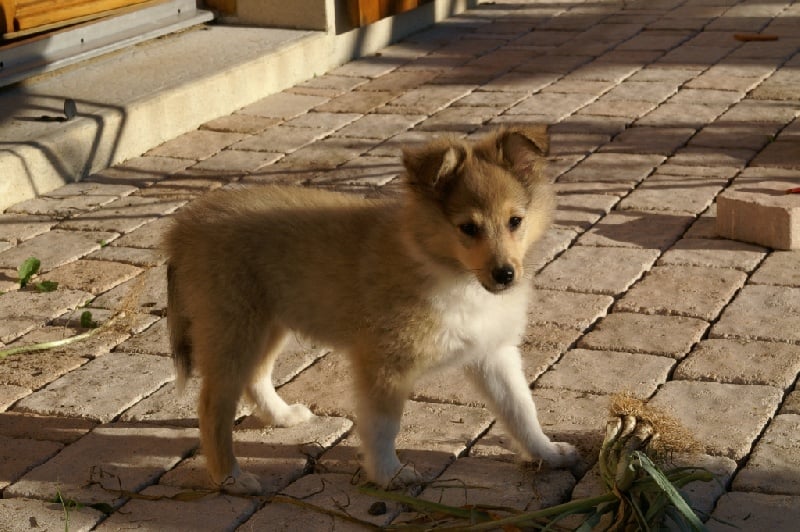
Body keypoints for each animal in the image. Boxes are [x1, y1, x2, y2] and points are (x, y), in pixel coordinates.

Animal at [167, 125, 580, 494]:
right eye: (468, 228)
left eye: (515, 221)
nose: (505, 275)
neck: (448, 271)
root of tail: (185, 227)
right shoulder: (384, 362)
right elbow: (383, 426)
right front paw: (388, 475)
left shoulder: (493, 353)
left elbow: (521, 408)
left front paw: (547, 452)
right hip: (234, 327)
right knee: (213, 407)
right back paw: (231, 478)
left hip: (269, 323)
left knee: (255, 377)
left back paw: (282, 417)